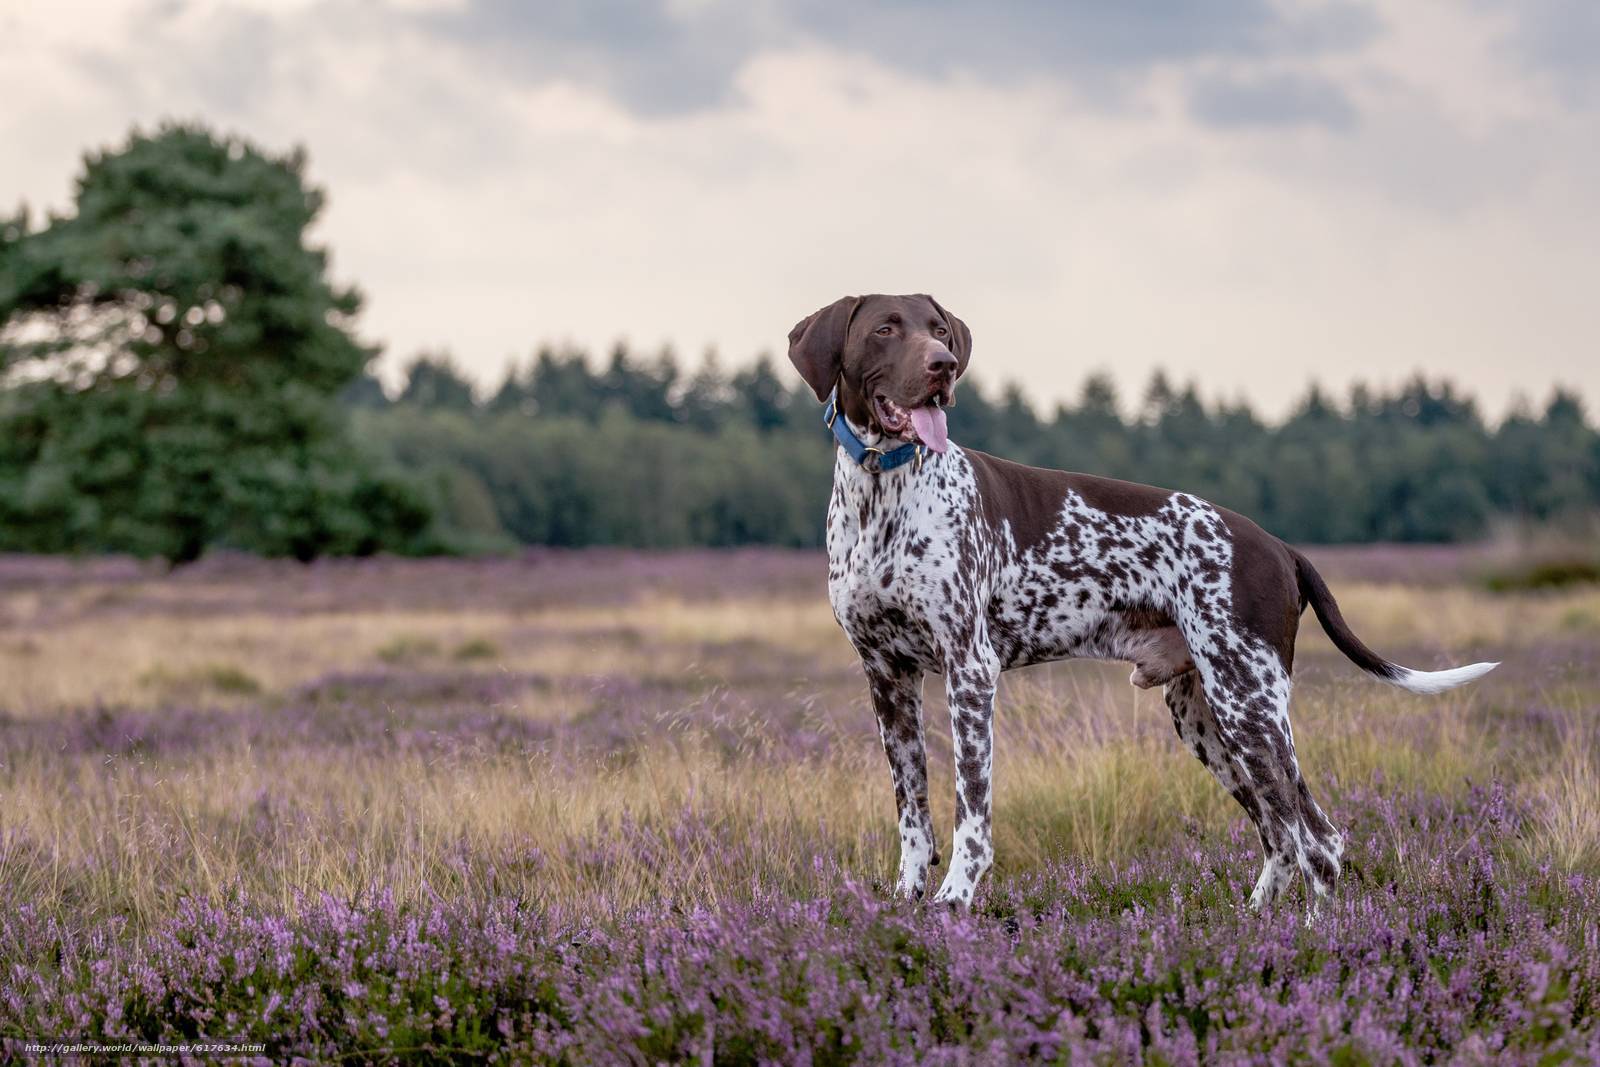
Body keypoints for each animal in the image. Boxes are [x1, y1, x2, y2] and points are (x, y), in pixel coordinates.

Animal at [790, 292, 1497, 908]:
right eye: (885, 328)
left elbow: (971, 814)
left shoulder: (970, 671)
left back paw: (1317, 939)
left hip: (1251, 707)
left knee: (1317, 839)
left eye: (938, 329)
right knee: (1281, 835)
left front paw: (953, 901)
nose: (943, 366)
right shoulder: (888, 679)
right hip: (1206, 717)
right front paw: (906, 900)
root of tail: (1278, 547)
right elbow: (913, 814)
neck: (883, 493)